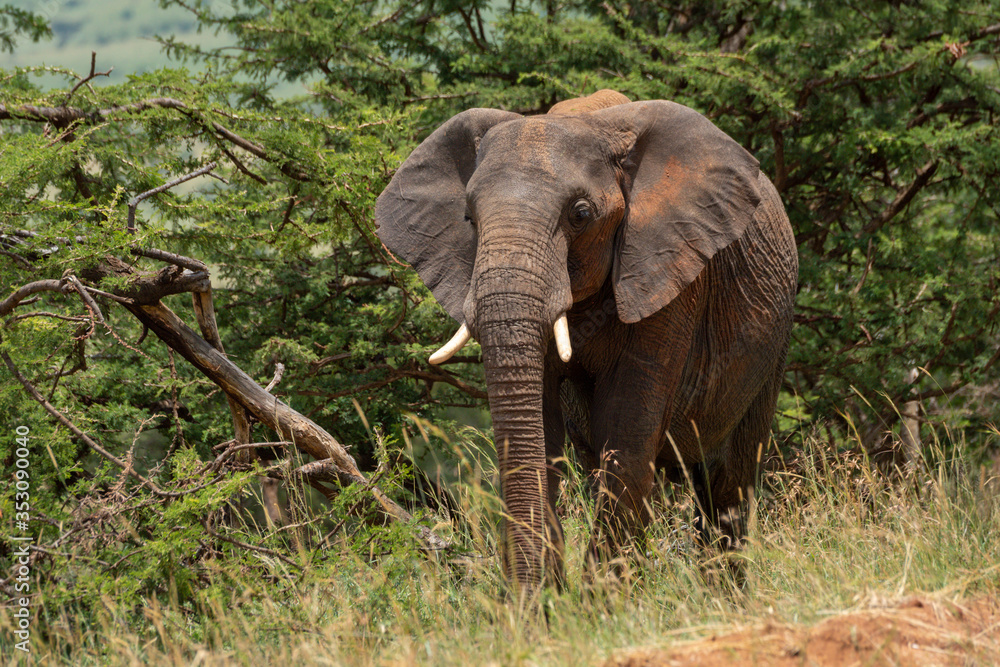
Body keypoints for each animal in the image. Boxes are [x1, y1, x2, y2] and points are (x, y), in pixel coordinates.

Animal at [375, 90, 798, 594]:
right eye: (468, 219)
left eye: (580, 215)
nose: (523, 601)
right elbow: (540, 437)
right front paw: (549, 604)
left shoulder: (671, 277)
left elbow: (626, 439)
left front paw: (598, 607)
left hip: (772, 349)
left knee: (728, 486)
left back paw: (724, 599)